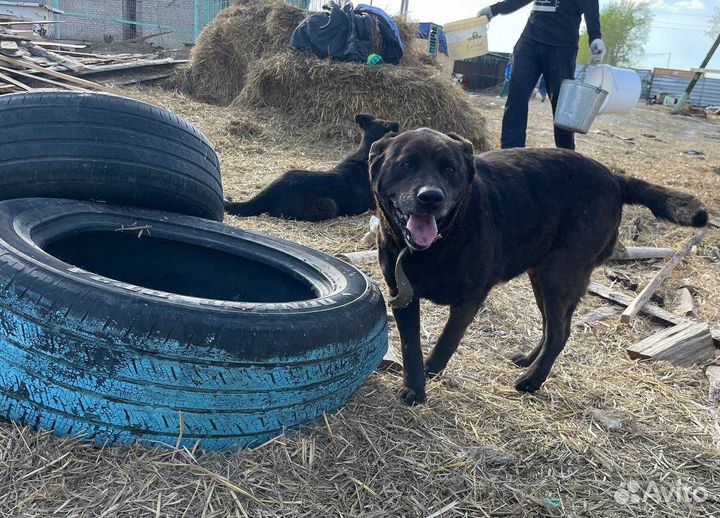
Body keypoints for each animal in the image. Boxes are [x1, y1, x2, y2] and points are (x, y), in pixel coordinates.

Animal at [372, 128, 708, 408]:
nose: (430, 197)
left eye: (450, 169)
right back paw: (530, 362)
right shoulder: (402, 295)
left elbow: (446, 341)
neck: (440, 242)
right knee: (551, 326)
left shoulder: (471, 297)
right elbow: (410, 346)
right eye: (405, 164)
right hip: (543, 277)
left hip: (558, 275)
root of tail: (614, 178)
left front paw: (431, 371)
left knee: (560, 333)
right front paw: (414, 387)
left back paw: (532, 380)